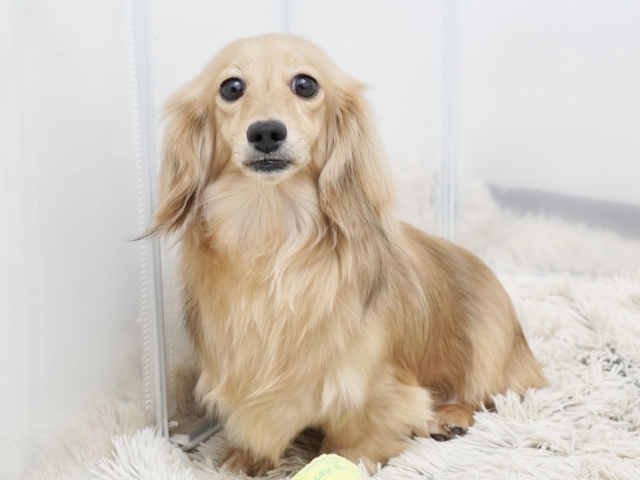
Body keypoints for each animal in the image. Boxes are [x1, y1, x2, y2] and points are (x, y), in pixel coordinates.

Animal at [148, 34, 545, 475]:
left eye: (305, 84)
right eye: (231, 87)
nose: (266, 132)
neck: (273, 238)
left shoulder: (368, 386)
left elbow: (356, 434)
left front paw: (344, 459)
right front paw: (246, 458)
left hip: (485, 353)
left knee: (489, 394)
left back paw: (450, 415)